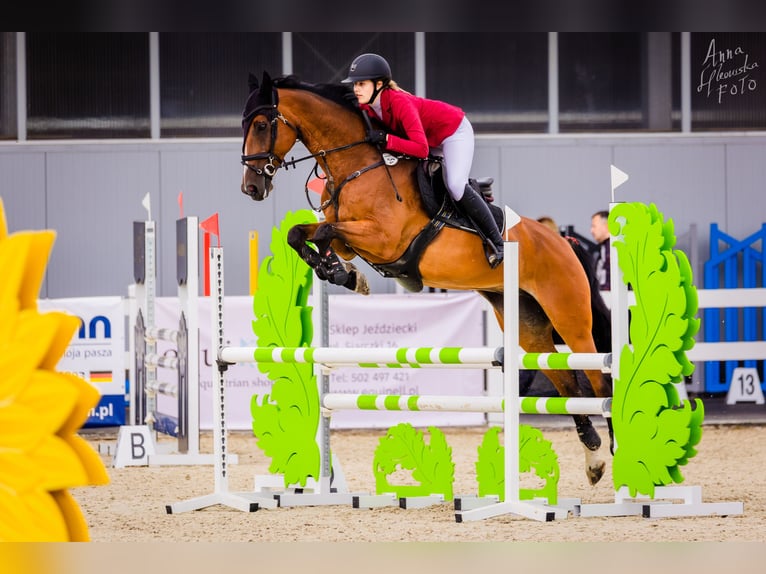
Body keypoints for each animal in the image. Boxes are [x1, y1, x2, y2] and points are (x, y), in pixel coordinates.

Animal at [240, 71, 613, 486]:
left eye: (261, 124)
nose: (251, 187)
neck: (357, 165)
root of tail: (562, 241)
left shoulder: (383, 239)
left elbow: (322, 232)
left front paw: (341, 273)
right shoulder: (353, 240)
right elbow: (302, 234)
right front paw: (343, 273)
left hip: (569, 317)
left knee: (598, 380)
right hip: (525, 321)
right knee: (566, 382)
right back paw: (593, 459)